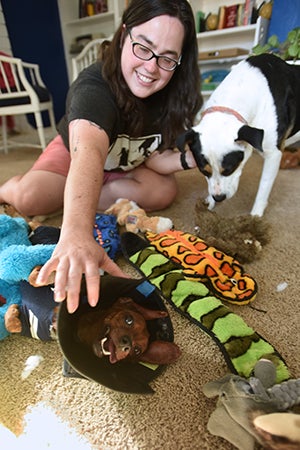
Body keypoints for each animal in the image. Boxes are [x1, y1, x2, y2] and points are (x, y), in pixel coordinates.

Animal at [178, 54, 300, 216]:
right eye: (203, 171)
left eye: (230, 169)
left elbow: (264, 187)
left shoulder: (273, 154)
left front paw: (255, 216)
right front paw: (209, 202)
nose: (218, 198)